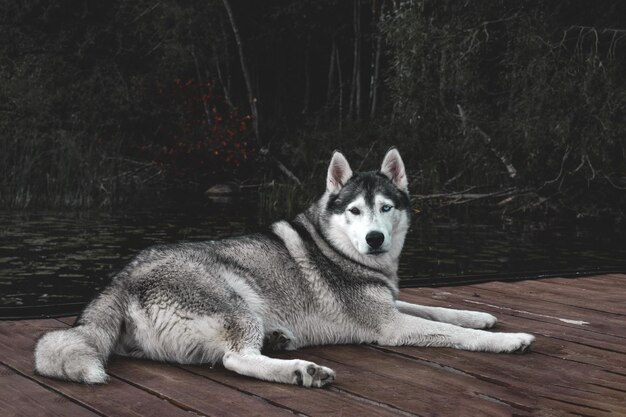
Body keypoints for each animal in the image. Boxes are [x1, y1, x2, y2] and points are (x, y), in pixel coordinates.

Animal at [34, 149, 532, 386]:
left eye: (386, 208)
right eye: (355, 211)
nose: (375, 239)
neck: (339, 248)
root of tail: (121, 278)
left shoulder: (390, 303)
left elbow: (439, 310)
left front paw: (480, 315)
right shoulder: (390, 325)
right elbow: (454, 333)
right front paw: (507, 339)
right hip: (238, 302)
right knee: (235, 359)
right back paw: (300, 371)